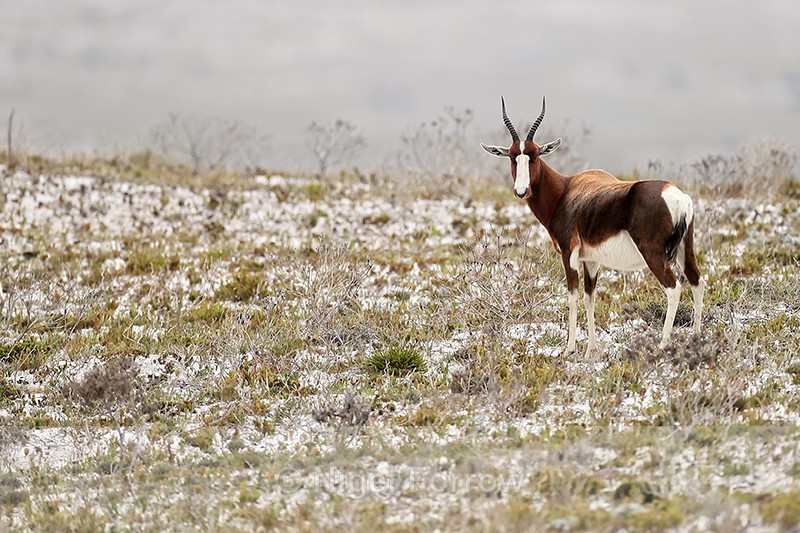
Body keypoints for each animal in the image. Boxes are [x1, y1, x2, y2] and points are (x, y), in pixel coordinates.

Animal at [481, 97, 704, 355]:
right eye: (512, 156)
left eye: (534, 155)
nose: (521, 191)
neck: (566, 191)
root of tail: (677, 197)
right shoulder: (591, 259)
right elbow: (590, 297)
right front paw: (590, 350)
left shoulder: (569, 253)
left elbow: (572, 296)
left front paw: (569, 349)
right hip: (685, 249)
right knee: (697, 282)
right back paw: (696, 338)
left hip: (653, 254)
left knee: (674, 288)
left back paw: (662, 345)